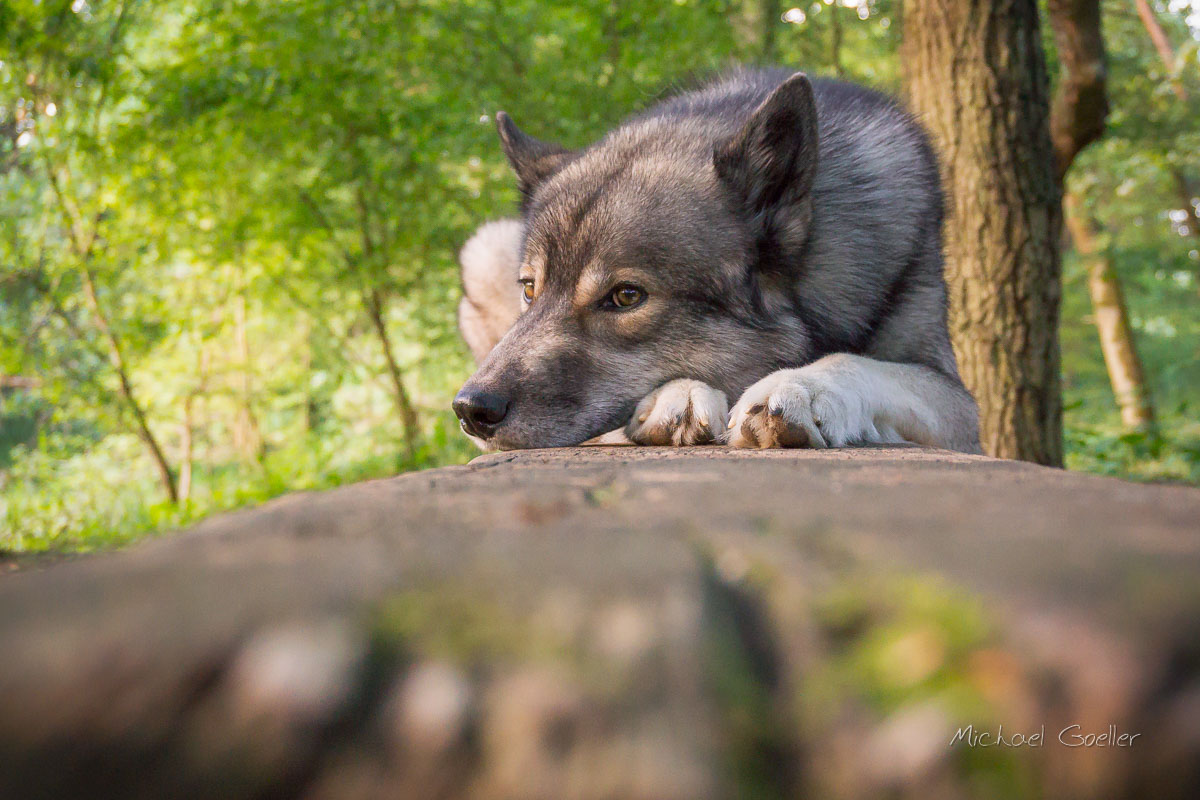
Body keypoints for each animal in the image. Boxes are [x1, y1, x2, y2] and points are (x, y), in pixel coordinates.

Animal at [453, 68, 981, 453]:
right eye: (529, 289)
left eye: (626, 297)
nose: (470, 409)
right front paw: (676, 395)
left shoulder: (961, 404)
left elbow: (863, 364)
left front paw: (806, 384)